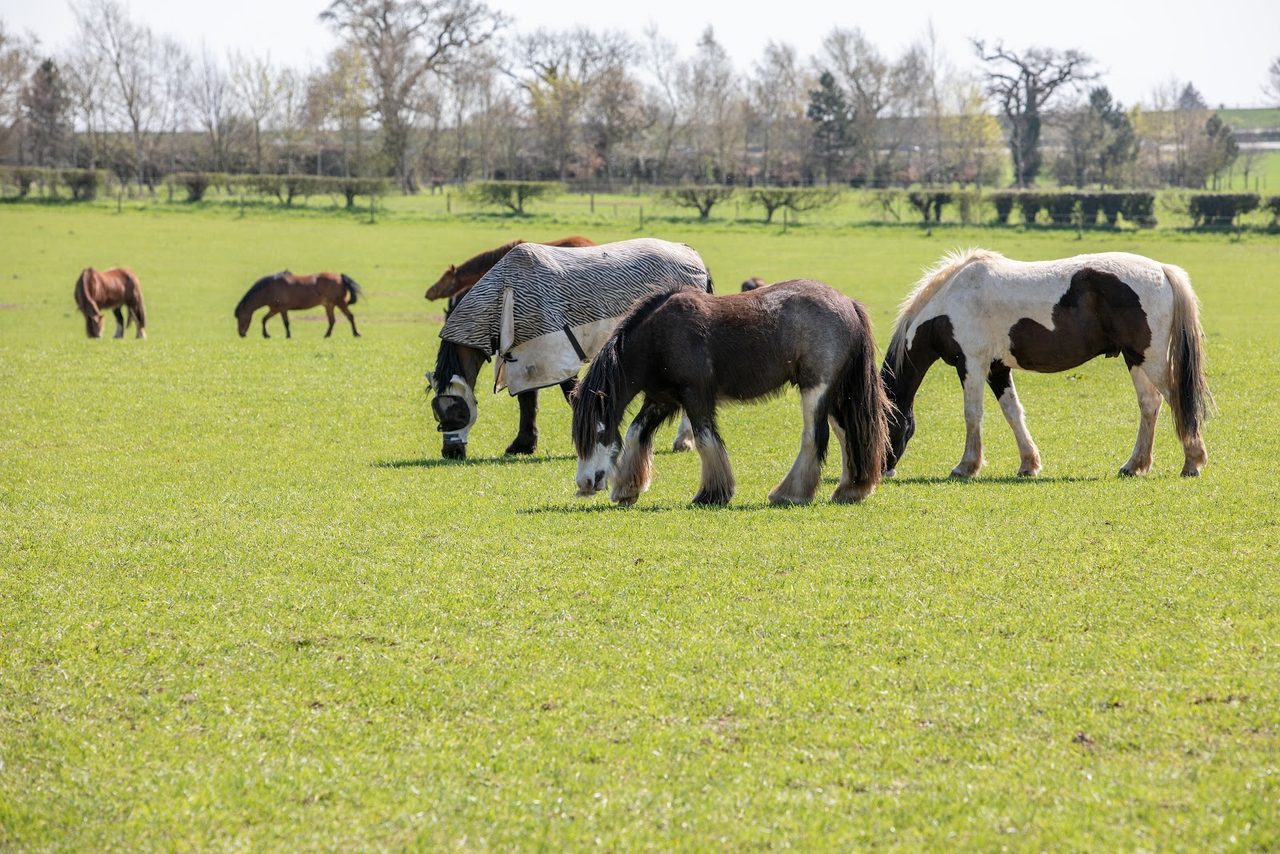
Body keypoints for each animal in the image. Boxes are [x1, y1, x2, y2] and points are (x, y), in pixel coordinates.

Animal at [235, 271, 363, 338]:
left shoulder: (280, 309)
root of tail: (340, 276)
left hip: (340, 302)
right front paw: (267, 335)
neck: (269, 289)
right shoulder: (275, 309)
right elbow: (265, 319)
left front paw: (286, 335)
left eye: (240, 317)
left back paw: (356, 333)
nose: (241, 334)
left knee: (350, 316)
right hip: (329, 304)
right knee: (332, 320)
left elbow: (284, 322)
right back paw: (327, 335)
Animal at [572, 279, 890, 507]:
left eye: (599, 432)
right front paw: (627, 489)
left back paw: (789, 494)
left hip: (816, 388)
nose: (584, 484)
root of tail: (848, 303)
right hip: (836, 395)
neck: (658, 339)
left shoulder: (696, 396)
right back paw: (850, 490)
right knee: (848, 434)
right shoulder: (662, 399)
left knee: (815, 436)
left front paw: (711, 494)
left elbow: (705, 439)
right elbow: (635, 433)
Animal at [880, 249, 1212, 479]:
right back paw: (1134, 465)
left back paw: (1192, 462)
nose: (885, 469)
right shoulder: (997, 369)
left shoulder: (972, 365)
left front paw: (966, 466)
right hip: (1135, 358)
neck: (951, 300)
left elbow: (973, 414)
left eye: (886, 423)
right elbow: (1013, 413)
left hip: (1150, 358)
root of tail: (1162, 270)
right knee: (1149, 404)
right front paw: (1028, 464)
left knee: (1177, 400)